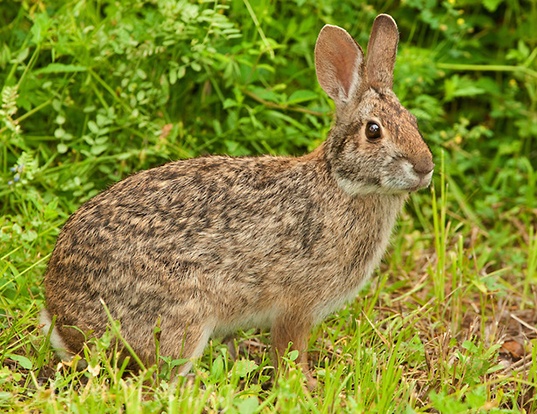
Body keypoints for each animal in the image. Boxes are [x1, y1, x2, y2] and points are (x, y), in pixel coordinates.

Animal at [39, 12, 434, 388]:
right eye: (373, 131)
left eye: (414, 121)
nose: (425, 166)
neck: (342, 183)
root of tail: (63, 320)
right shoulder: (296, 306)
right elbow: (289, 351)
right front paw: (305, 388)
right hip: (183, 318)